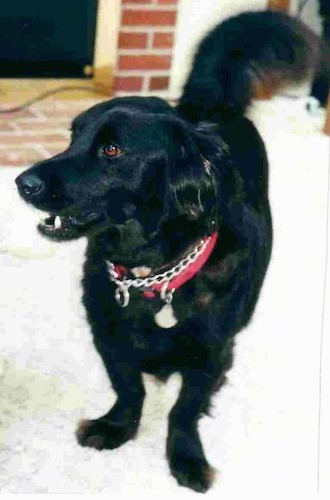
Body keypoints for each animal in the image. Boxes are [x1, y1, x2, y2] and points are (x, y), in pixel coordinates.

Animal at [16, 9, 322, 494]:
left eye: (112, 150)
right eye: (72, 137)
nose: (21, 182)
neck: (152, 271)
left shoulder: (210, 348)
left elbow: (184, 409)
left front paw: (187, 458)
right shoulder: (108, 332)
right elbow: (129, 387)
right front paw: (117, 427)